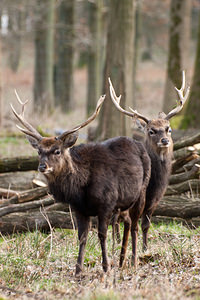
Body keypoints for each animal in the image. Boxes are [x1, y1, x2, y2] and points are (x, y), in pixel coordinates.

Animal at [11, 93, 151, 274]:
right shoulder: (78, 208)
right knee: (127, 221)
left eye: (57, 151)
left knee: (135, 225)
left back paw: (133, 261)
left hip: (142, 191)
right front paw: (78, 270)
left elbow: (101, 234)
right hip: (124, 202)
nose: (42, 166)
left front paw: (106, 267)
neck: (81, 188)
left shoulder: (107, 203)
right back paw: (121, 262)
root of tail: (140, 145)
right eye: (39, 151)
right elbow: (82, 236)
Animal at [110, 71, 190, 268]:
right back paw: (116, 243)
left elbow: (146, 225)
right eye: (151, 130)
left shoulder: (155, 201)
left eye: (168, 129)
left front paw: (146, 249)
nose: (165, 141)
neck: (154, 185)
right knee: (114, 220)